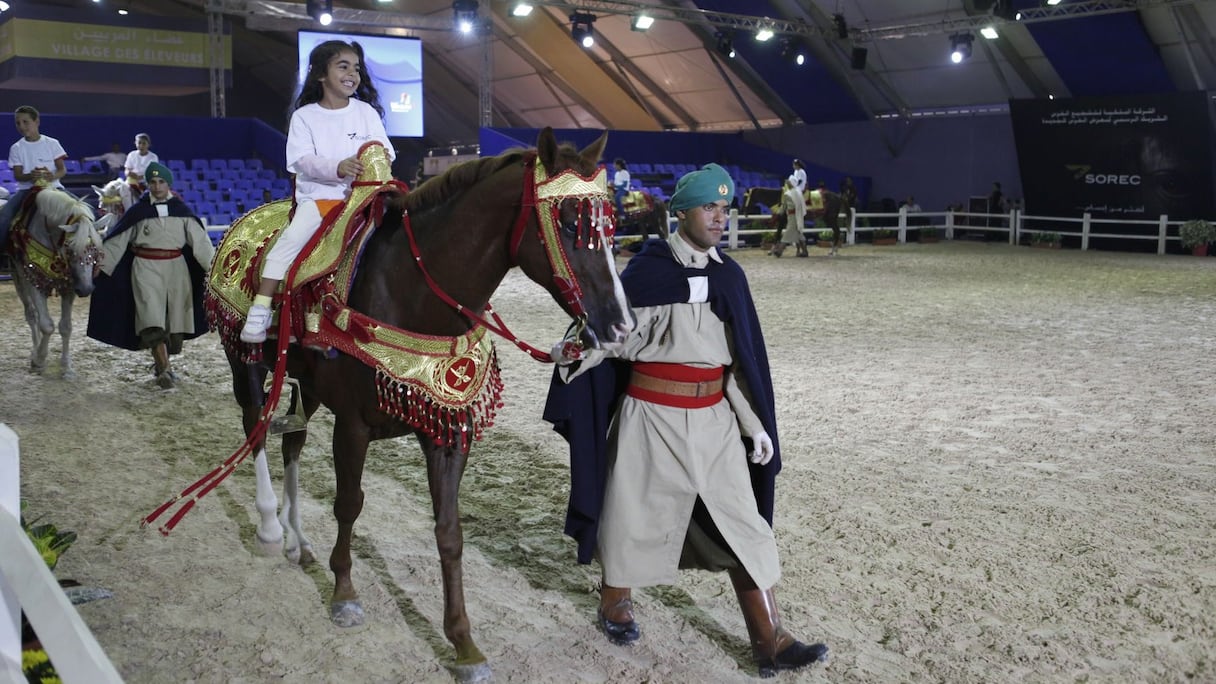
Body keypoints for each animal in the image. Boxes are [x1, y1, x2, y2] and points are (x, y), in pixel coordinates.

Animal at [10, 186, 105, 377]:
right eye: (70, 248)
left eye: (95, 249)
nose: (86, 289)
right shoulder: (34, 280)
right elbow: (47, 326)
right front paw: (38, 360)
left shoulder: (69, 286)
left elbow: (66, 327)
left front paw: (66, 366)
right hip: (19, 278)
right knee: (32, 315)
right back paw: (35, 350)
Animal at [166, 126, 632, 676]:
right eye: (568, 222)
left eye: (609, 225)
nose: (620, 326)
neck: (411, 295)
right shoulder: (353, 425)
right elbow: (349, 504)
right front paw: (344, 593)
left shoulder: (448, 432)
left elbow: (449, 531)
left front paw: (463, 643)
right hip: (249, 365)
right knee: (256, 431)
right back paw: (270, 530)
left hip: (305, 387)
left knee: (292, 444)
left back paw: (298, 540)